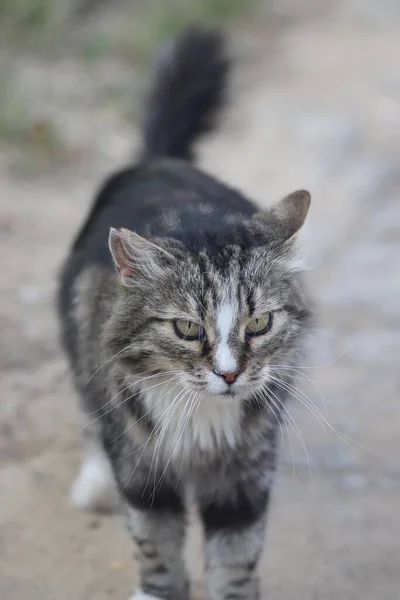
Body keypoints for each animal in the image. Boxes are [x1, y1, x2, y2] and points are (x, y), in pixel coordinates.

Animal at [58, 24, 312, 600]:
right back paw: (94, 482)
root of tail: (159, 159)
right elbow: (155, 546)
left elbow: (235, 559)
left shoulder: (244, 474)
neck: (201, 421)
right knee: (89, 412)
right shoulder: (141, 468)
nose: (230, 373)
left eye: (258, 323)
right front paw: (157, 591)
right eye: (187, 328)